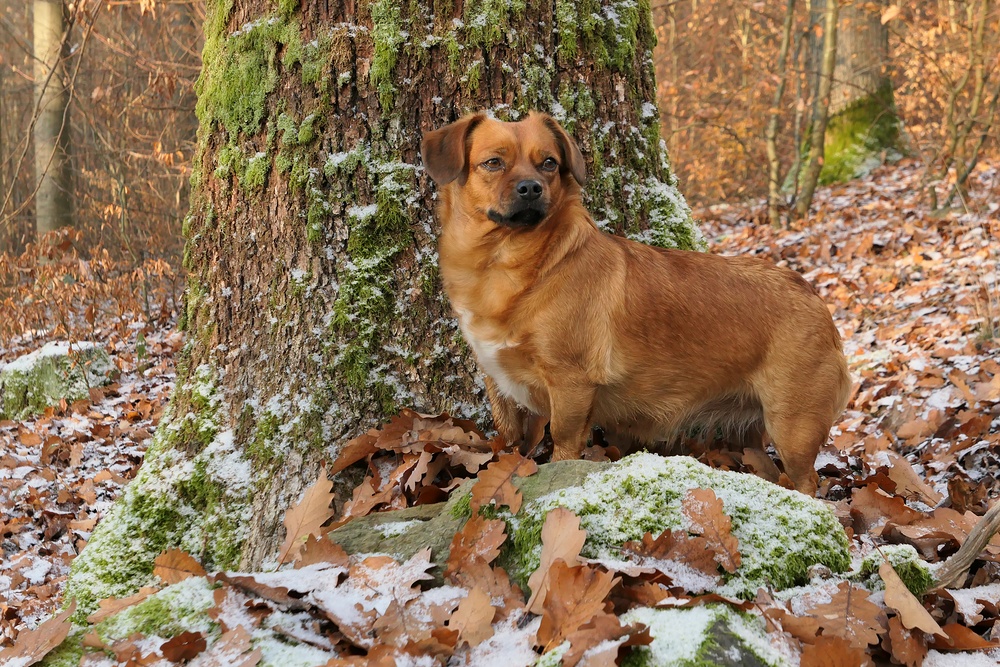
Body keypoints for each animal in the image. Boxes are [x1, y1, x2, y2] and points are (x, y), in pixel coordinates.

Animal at [422, 111, 852, 496]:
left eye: (549, 164)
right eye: (493, 163)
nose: (531, 187)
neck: (509, 263)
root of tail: (811, 294)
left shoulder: (570, 388)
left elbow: (563, 447)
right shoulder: (498, 384)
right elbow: (508, 436)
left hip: (792, 425)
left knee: (806, 481)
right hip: (748, 435)